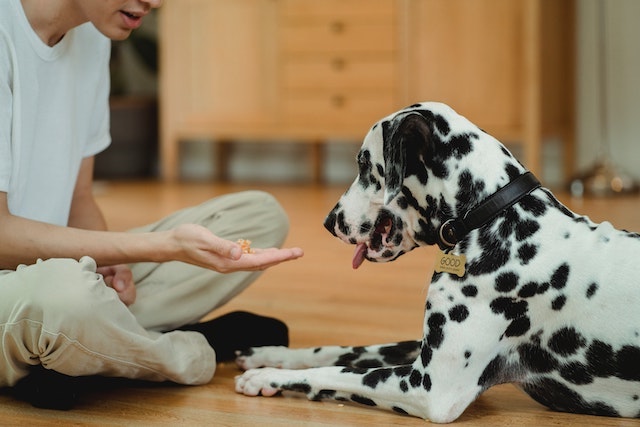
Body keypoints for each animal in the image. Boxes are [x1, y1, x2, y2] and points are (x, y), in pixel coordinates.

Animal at [234, 102, 640, 422]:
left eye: (365, 165)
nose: (329, 221)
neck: (496, 217)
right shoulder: (422, 347)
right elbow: (342, 350)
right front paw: (270, 355)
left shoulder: (428, 387)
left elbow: (337, 371)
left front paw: (266, 376)